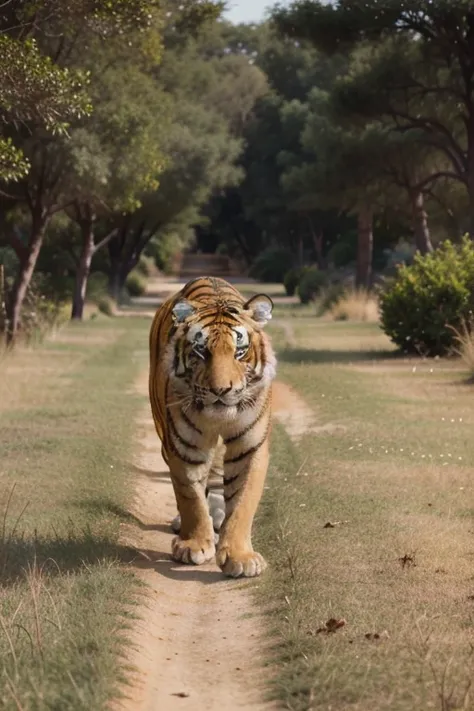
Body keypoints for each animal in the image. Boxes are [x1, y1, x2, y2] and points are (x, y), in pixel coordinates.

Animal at [147, 276, 274, 580]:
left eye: (240, 351)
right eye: (201, 350)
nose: (221, 391)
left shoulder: (249, 447)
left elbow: (242, 502)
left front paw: (240, 557)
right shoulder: (184, 446)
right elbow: (190, 497)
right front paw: (193, 545)